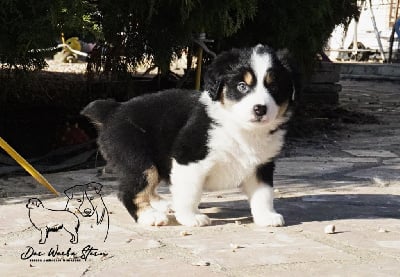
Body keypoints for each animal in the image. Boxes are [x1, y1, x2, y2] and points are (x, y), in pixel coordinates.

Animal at [82, 44, 296, 226]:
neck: (241, 129)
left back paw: (164, 205)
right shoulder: (190, 158)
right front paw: (190, 217)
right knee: (131, 190)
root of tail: (113, 111)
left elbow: (263, 193)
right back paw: (150, 216)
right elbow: (189, 193)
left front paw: (267, 217)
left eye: (274, 87)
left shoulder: (262, 165)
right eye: (242, 86)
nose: (260, 109)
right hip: (137, 160)